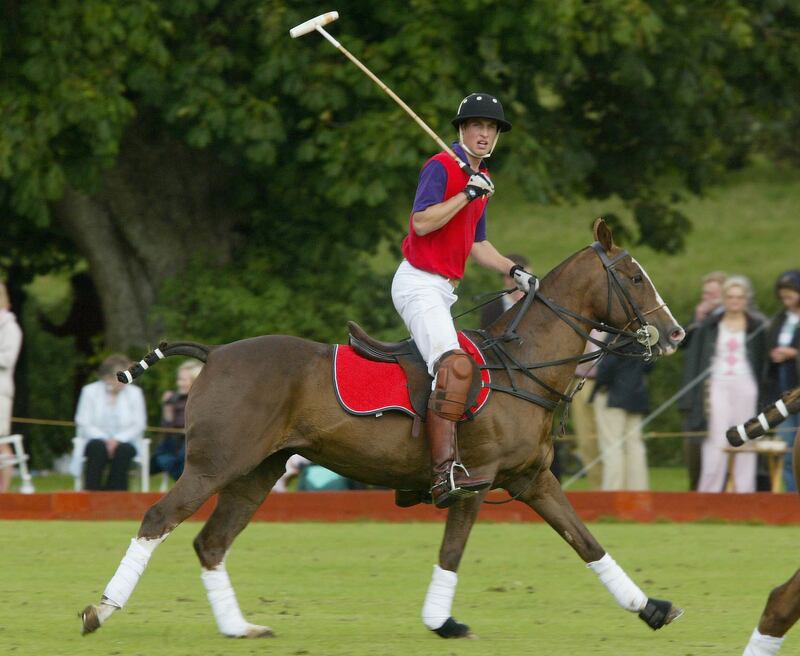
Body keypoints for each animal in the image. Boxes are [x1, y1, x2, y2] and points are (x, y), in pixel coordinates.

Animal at [81, 220, 688, 640]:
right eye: (635, 277)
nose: (676, 333)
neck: (525, 366)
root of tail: (213, 353)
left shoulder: (532, 479)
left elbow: (586, 540)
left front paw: (654, 608)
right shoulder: (475, 479)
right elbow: (453, 551)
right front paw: (442, 621)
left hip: (257, 471)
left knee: (211, 541)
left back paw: (238, 627)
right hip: (215, 463)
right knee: (160, 518)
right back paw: (100, 610)